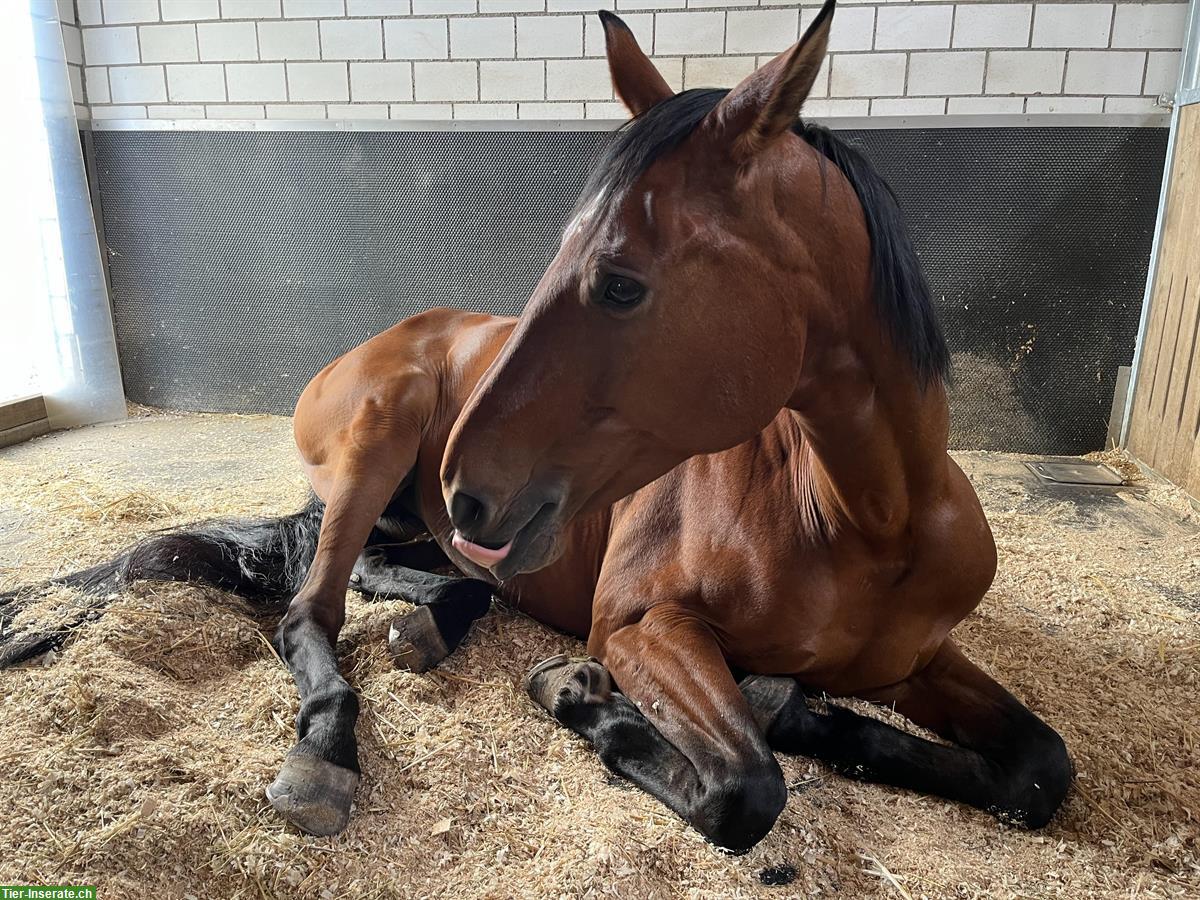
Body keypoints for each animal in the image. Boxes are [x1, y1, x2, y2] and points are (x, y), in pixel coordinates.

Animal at [0, 3, 1070, 854]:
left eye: (621, 283)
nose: (469, 485)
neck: (858, 520)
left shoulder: (919, 664)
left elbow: (1040, 770)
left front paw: (798, 712)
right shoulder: (643, 626)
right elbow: (745, 790)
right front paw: (581, 696)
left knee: (404, 572)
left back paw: (427, 625)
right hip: (380, 441)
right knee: (312, 609)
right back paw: (324, 757)